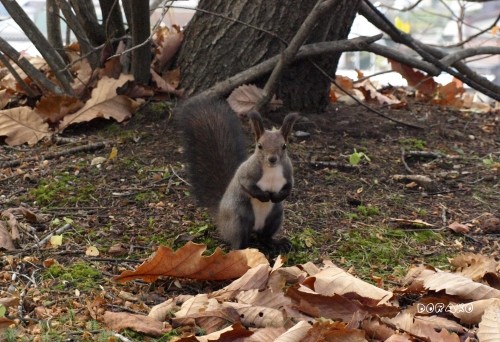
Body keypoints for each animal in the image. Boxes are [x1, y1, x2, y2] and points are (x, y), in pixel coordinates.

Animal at [178, 97, 298, 250]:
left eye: (284, 146)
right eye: (260, 146)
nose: (272, 159)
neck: (271, 170)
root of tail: (221, 218)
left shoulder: (288, 173)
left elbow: (289, 187)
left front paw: (277, 196)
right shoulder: (246, 173)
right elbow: (247, 185)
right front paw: (264, 196)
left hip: (275, 217)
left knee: (264, 237)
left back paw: (277, 243)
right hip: (238, 221)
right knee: (238, 242)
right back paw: (243, 250)